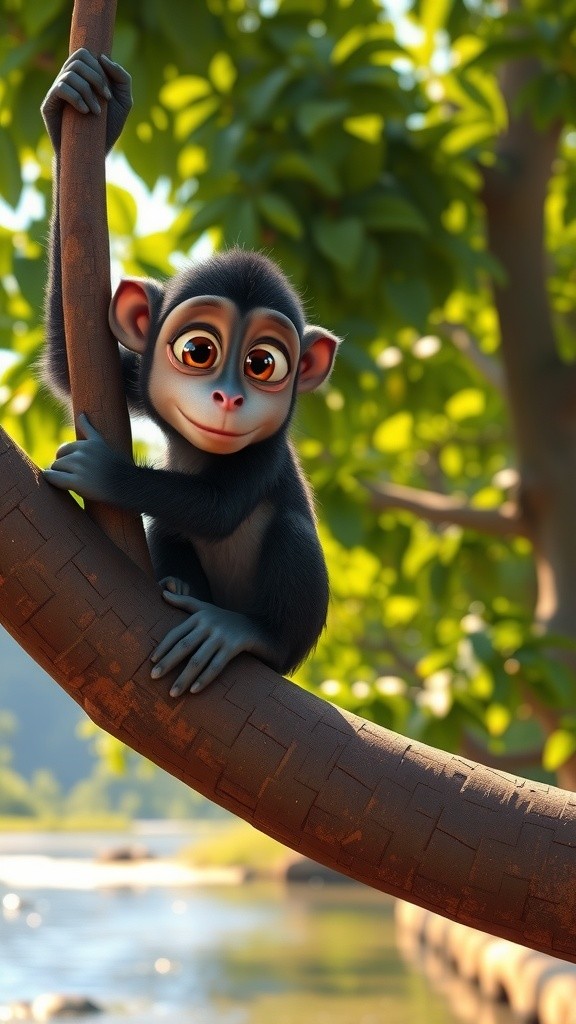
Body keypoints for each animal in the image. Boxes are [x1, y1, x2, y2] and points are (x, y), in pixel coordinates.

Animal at [41, 50, 341, 697]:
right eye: (199, 351)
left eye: (263, 364)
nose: (228, 398)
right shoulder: (135, 379)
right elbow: (65, 367)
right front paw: (84, 107)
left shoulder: (264, 454)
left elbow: (219, 509)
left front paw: (104, 472)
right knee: (170, 532)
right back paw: (180, 587)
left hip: (294, 636)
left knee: (289, 538)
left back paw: (246, 634)